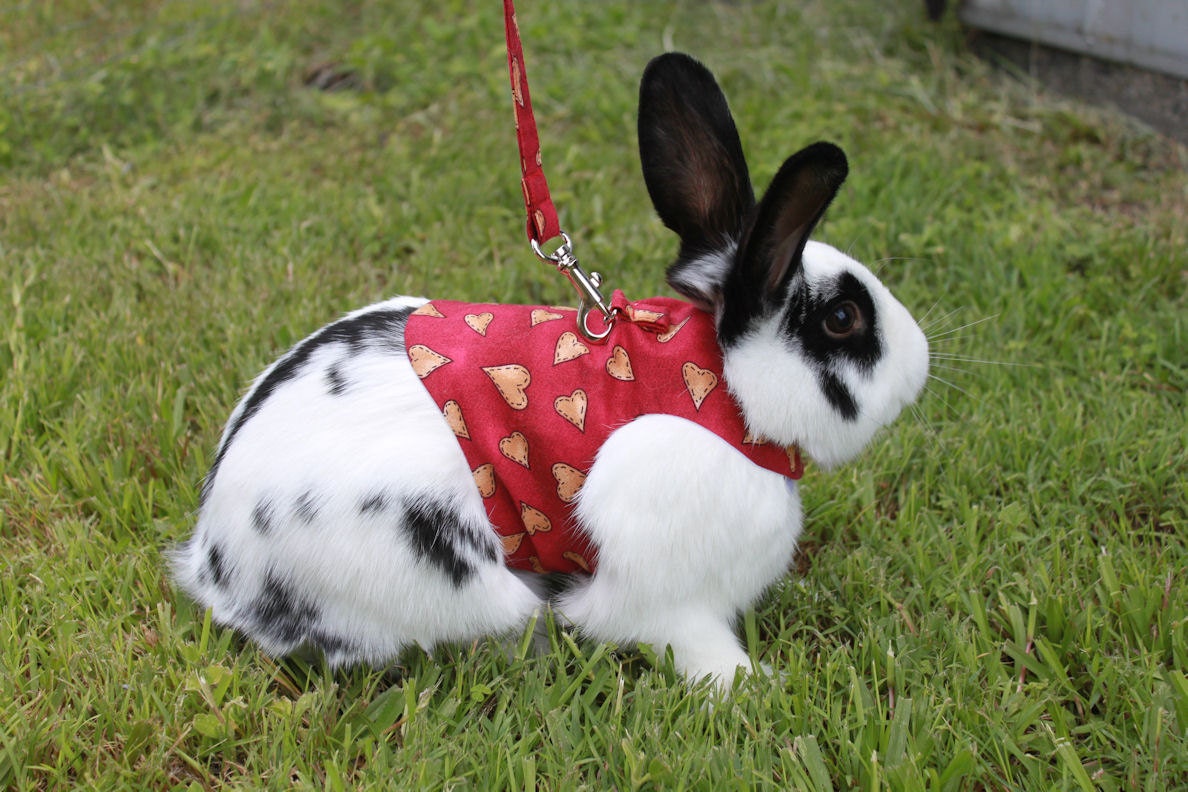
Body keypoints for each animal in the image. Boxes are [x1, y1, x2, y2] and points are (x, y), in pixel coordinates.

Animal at [171, 52, 930, 688]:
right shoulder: (669, 595)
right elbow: (688, 641)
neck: (723, 391)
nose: (920, 363)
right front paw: (754, 689)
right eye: (844, 319)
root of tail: (215, 560)